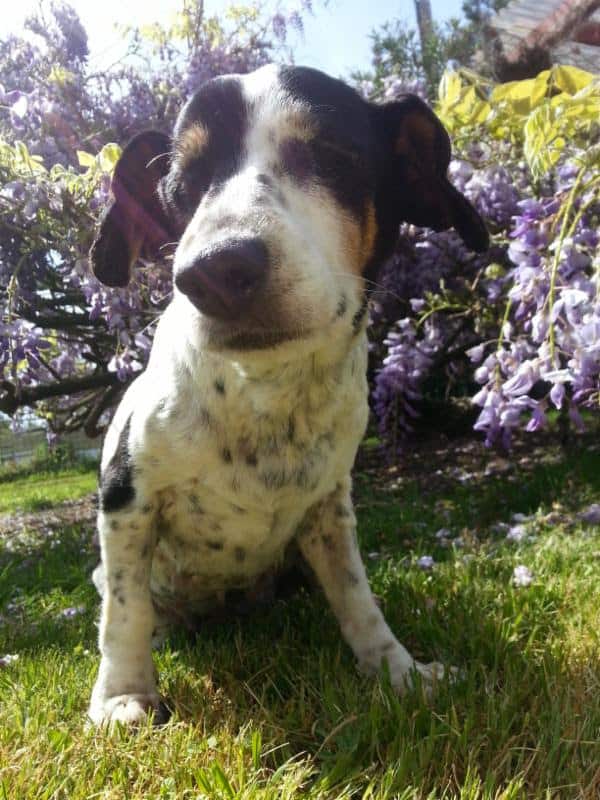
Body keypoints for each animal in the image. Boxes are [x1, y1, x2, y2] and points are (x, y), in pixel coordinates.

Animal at [86, 62, 488, 724]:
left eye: (330, 155)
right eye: (180, 184)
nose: (213, 272)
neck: (266, 393)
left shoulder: (329, 510)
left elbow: (356, 596)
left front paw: (399, 672)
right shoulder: (126, 501)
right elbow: (125, 612)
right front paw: (123, 695)